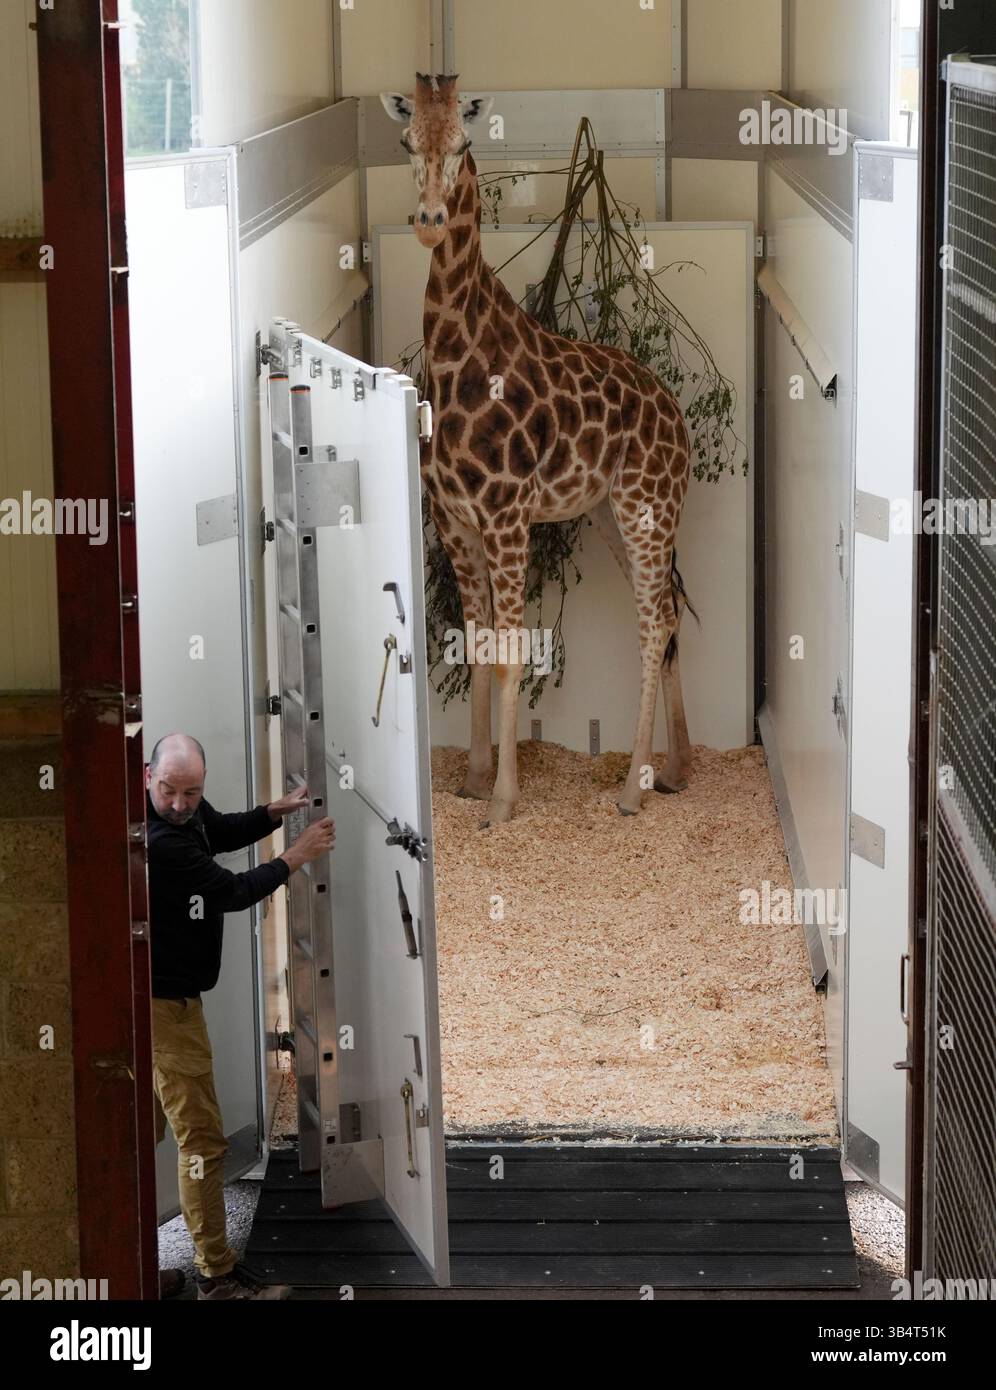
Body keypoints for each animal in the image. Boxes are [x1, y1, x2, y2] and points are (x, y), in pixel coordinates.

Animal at [381, 73, 693, 825]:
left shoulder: (506, 516)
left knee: (654, 623)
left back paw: (631, 789)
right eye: (406, 141)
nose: (429, 219)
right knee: (669, 614)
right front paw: (472, 778)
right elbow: (476, 641)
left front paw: (502, 799)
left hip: (646, 509)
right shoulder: (454, 520)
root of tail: (680, 423)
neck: (457, 358)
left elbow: (509, 652)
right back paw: (673, 769)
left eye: (463, 143)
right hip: (616, 514)